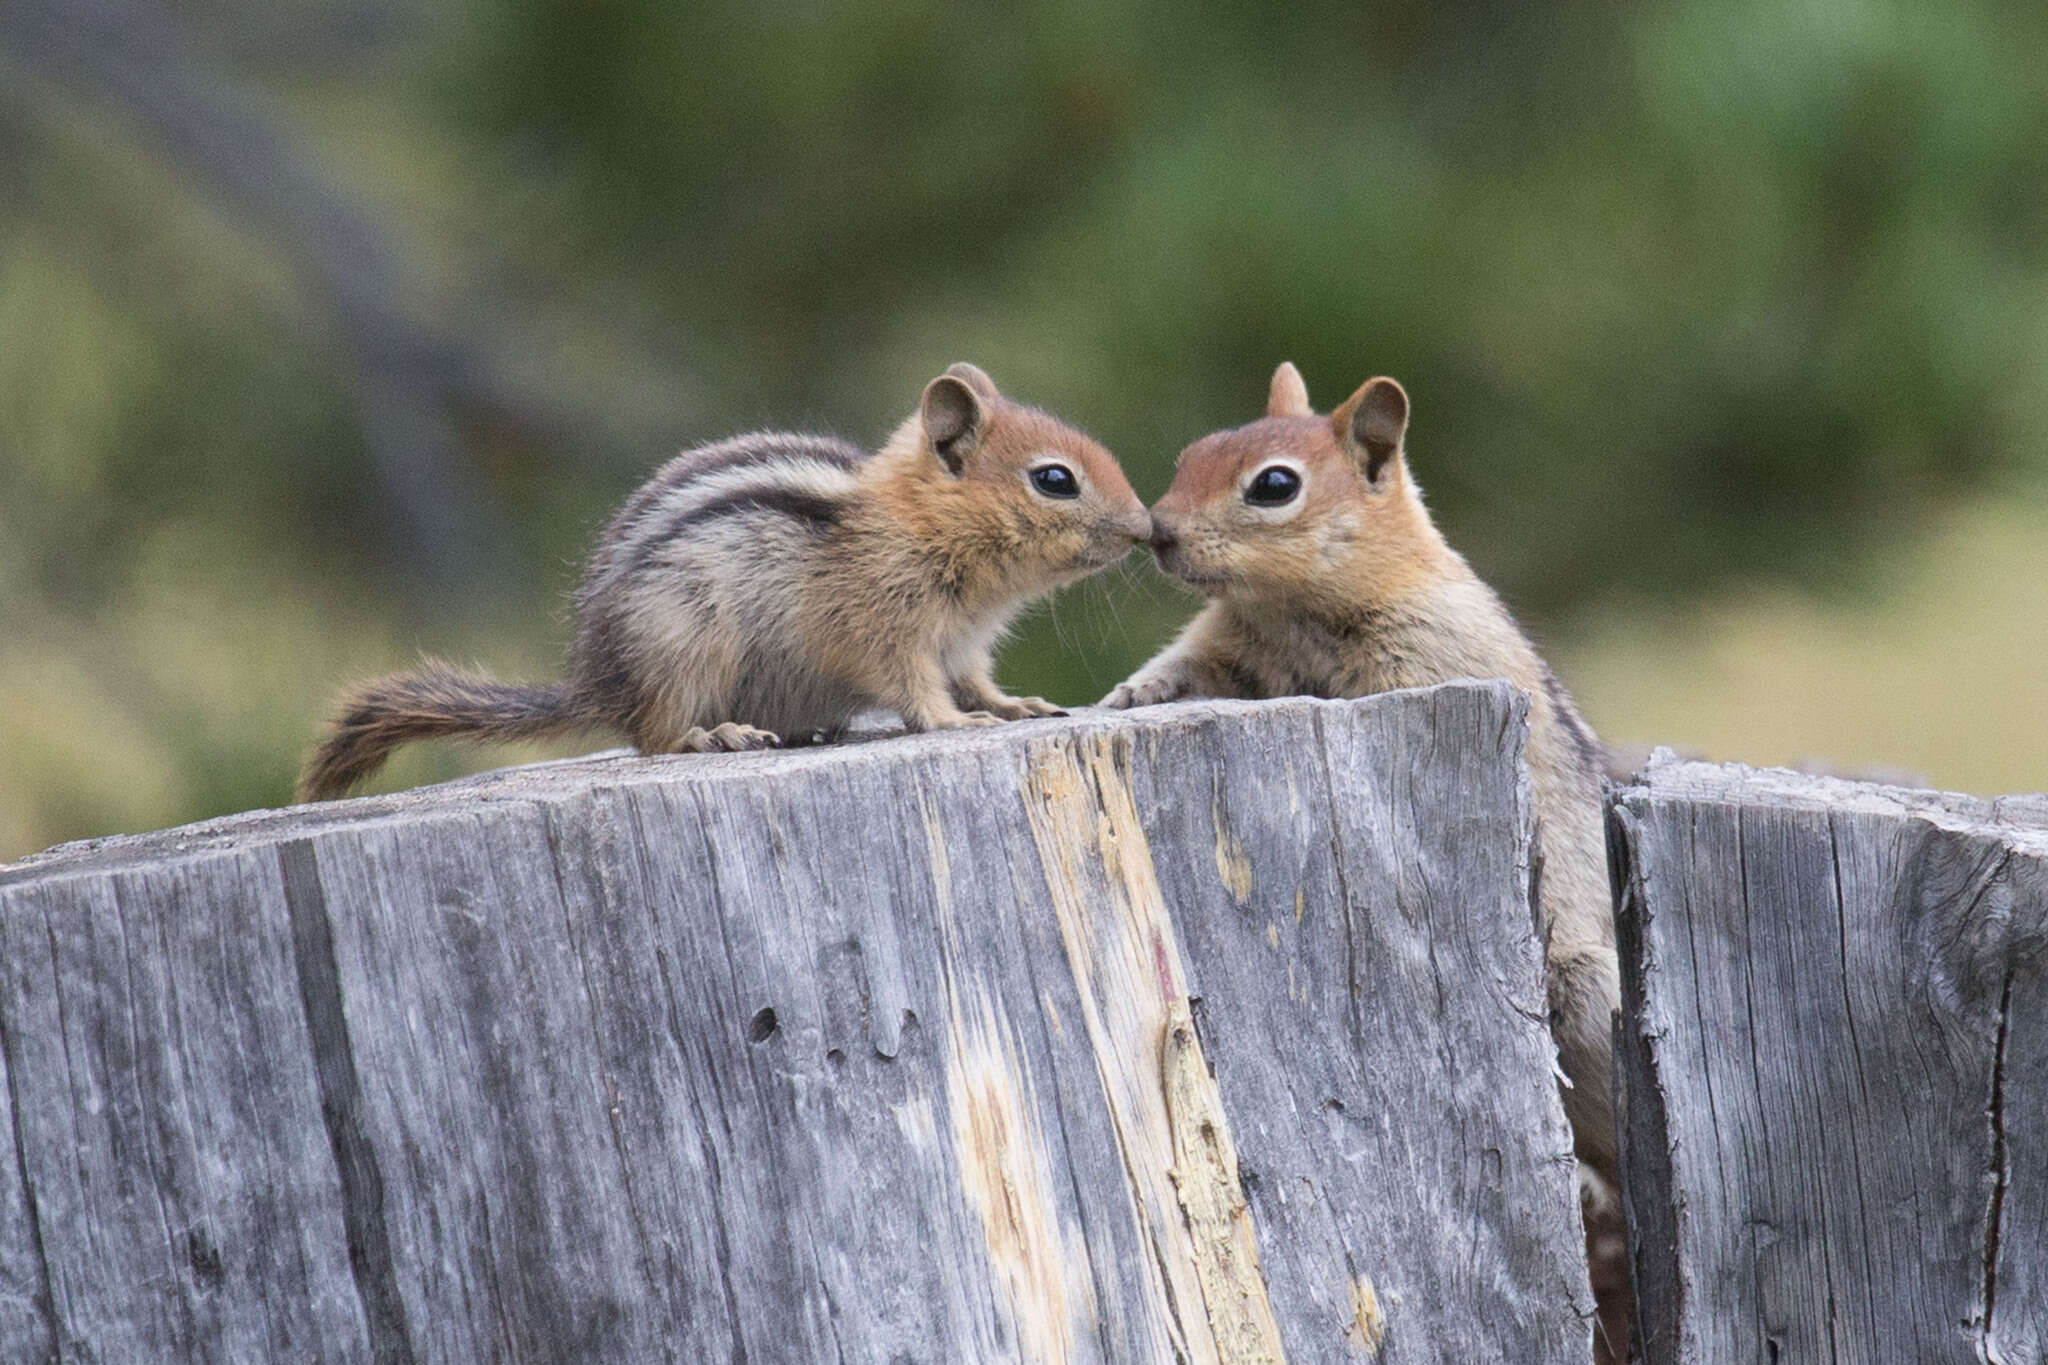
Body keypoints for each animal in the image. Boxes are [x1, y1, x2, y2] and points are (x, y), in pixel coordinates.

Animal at [299, 362, 1155, 802]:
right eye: (1055, 480)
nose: (1146, 529)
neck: (921, 524)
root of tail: (596, 681)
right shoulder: (882, 629)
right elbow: (913, 689)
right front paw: (953, 723)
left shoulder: (965, 645)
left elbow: (978, 681)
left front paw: (1016, 707)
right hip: (682, 647)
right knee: (652, 737)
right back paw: (716, 734)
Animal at [1114, 362, 1622, 1186]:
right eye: (1190, 455)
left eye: (1275, 485)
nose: (1157, 531)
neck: (1289, 612)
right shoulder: (1222, 646)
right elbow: (1178, 670)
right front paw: (1127, 694)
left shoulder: (1428, 656)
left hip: (1586, 993)